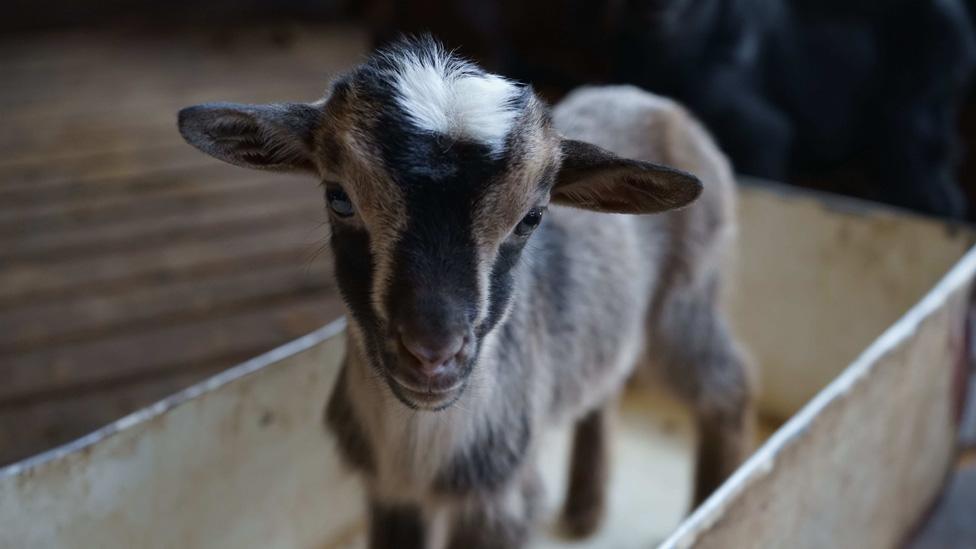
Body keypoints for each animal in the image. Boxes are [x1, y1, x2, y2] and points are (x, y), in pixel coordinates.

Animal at [177, 39, 756, 548]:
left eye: (532, 218)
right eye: (338, 198)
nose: (432, 354)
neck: (418, 447)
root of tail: (653, 99)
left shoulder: (501, 501)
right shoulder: (391, 494)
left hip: (689, 294)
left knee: (728, 383)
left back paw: (717, 505)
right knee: (607, 380)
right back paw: (584, 512)